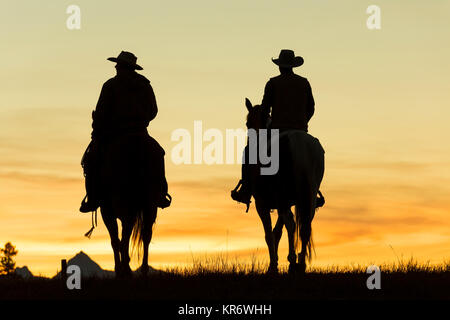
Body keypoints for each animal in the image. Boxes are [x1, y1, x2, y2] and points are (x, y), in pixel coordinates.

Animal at [96, 132, 163, 278]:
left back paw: (127, 269)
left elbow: (116, 240)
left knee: (127, 237)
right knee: (146, 235)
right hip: (149, 205)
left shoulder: (107, 211)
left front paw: (120, 269)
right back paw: (142, 270)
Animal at [244, 97, 326, 272]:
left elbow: (269, 233)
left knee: (292, 223)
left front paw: (273, 265)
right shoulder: (287, 201)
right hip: (308, 196)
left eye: (248, 123)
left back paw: (293, 261)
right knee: (305, 225)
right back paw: (300, 264)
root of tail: (300, 144)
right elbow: (277, 231)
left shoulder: (263, 203)